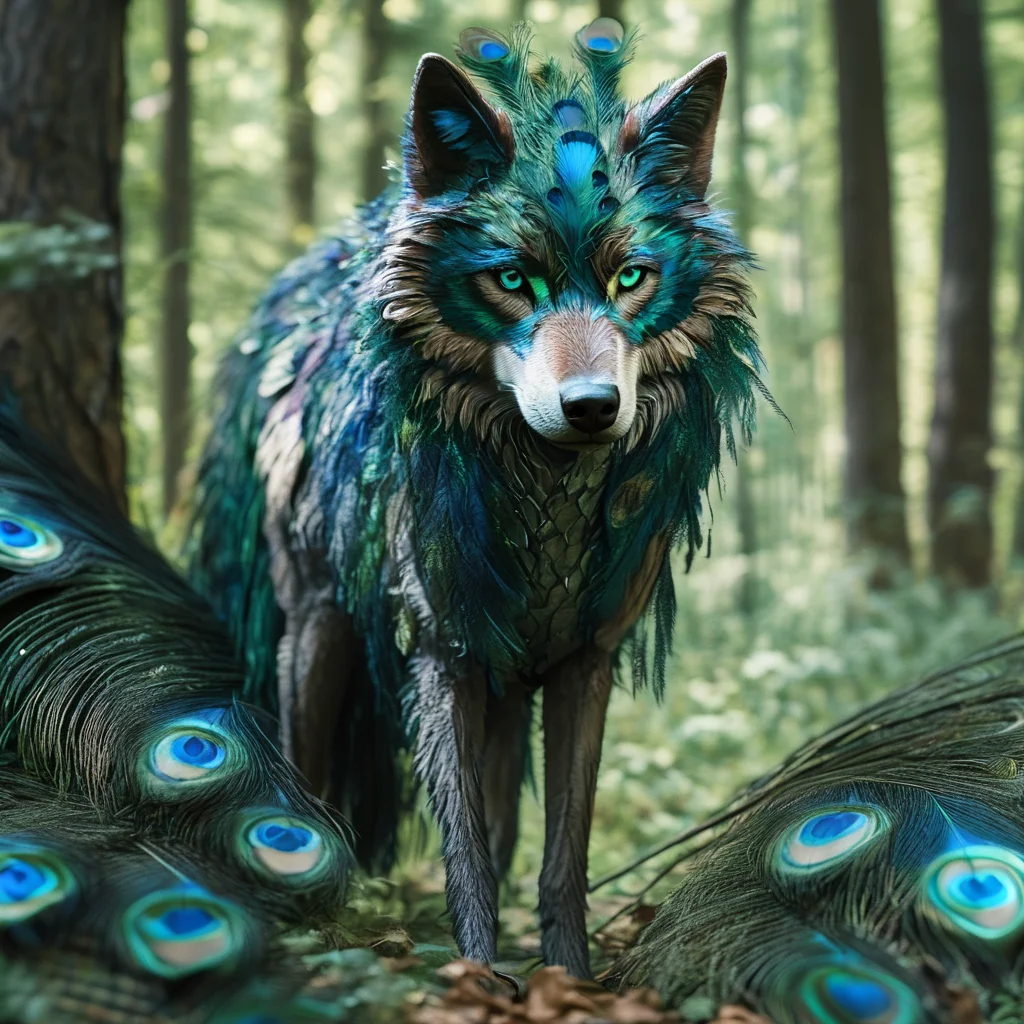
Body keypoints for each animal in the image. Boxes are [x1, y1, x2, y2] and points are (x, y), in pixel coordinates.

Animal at [191, 20, 763, 979]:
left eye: (632, 279)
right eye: (513, 281)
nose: (592, 407)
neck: (547, 500)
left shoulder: (581, 663)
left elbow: (558, 852)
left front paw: (565, 977)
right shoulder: (446, 653)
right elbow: (465, 851)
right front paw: (481, 977)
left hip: (508, 680)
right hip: (321, 630)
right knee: (304, 770)